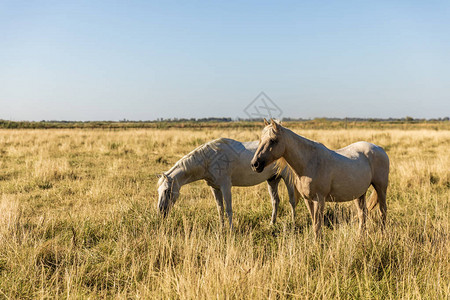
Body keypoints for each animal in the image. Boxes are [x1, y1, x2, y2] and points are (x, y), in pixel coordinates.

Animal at [156, 138, 298, 230]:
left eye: (167, 190)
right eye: (159, 191)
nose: (160, 211)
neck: (208, 159)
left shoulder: (226, 186)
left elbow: (229, 209)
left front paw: (231, 229)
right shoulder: (215, 188)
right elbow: (220, 208)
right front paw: (222, 228)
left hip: (288, 179)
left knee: (292, 201)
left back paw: (294, 224)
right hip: (272, 180)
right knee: (275, 201)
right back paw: (271, 224)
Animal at [251, 118, 388, 238]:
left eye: (273, 140)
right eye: (260, 140)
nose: (255, 164)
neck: (308, 163)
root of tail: (379, 148)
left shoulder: (319, 200)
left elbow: (317, 226)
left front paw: (318, 247)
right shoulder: (308, 200)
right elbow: (314, 224)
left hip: (381, 188)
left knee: (382, 211)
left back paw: (382, 236)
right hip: (359, 193)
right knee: (362, 214)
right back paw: (360, 238)